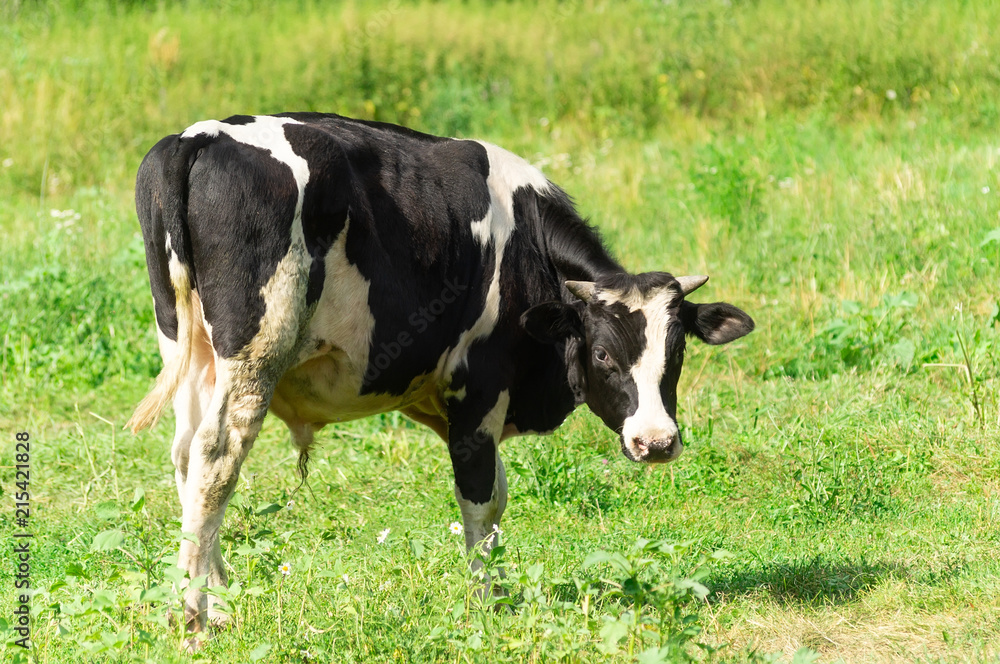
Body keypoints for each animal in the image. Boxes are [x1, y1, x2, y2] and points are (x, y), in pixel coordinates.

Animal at [127, 111, 752, 644]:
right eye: (601, 354)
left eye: (677, 349)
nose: (657, 442)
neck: (524, 245)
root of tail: (198, 137)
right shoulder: (479, 393)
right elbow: (480, 502)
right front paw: (483, 604)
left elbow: (497, 497)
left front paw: (498, 595)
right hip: (254, 354)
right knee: (216, 458)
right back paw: (192, 616)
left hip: (191, 349)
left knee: (187, 459)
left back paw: (219, 602)